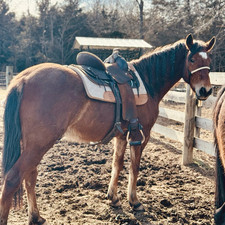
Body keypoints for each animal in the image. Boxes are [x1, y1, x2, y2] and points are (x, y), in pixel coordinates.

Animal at [0, 33, 215, 225]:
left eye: (209, 60)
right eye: (192, 59)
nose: (205, 90)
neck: (147, 80)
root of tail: (23, 79)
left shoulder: (121, 136)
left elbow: (116, 165)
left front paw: (113, 198)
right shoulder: (141, 135)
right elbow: (134, 167)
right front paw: (134, 202)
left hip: (32, 145)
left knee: (30, 176)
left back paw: (36, 217)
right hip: (38, 144)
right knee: (12, 179)